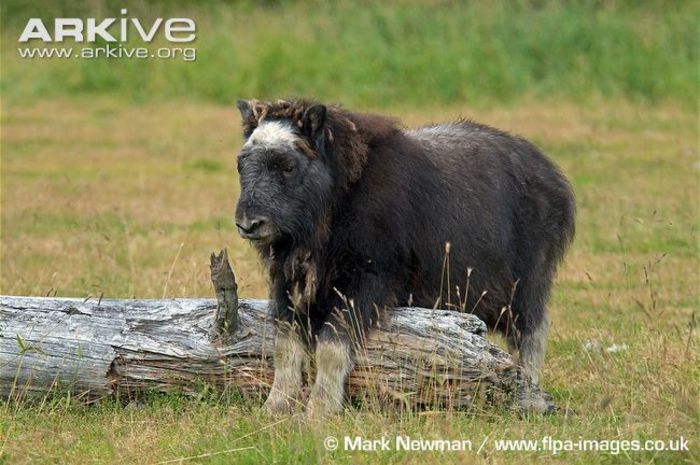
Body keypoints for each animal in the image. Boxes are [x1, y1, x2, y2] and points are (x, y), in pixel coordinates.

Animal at [235, 99, 576, 416]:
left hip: (527, 283)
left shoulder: (366, 281)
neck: (337, 196)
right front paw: (275, 407)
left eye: (288, 166)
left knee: (530, 335)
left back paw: (529, 399)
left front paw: (320, 410)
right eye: (241, 164)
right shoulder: (289, 282)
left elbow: (331, 346)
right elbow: (285, 347)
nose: (248, 224)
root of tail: (550, 173)